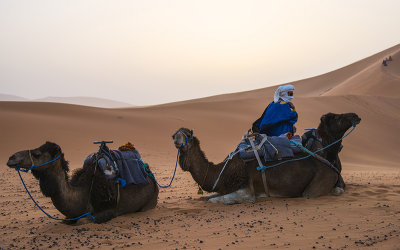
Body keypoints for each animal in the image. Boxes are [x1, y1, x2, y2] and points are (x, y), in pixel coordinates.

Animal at [6, 142, 159, 224]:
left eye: (37, 154)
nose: (11, 158)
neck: (83, 193)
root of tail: (150, 175)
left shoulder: (109, 210)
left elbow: (83, 220)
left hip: (150, 201)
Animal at [173, 112, 360, 204]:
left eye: (187, 135)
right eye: (175, 134)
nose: (176, 139)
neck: (222, 171)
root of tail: (332, 169)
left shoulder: (246, 191)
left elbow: (215, 200)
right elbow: (206, 197)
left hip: (315, 186)